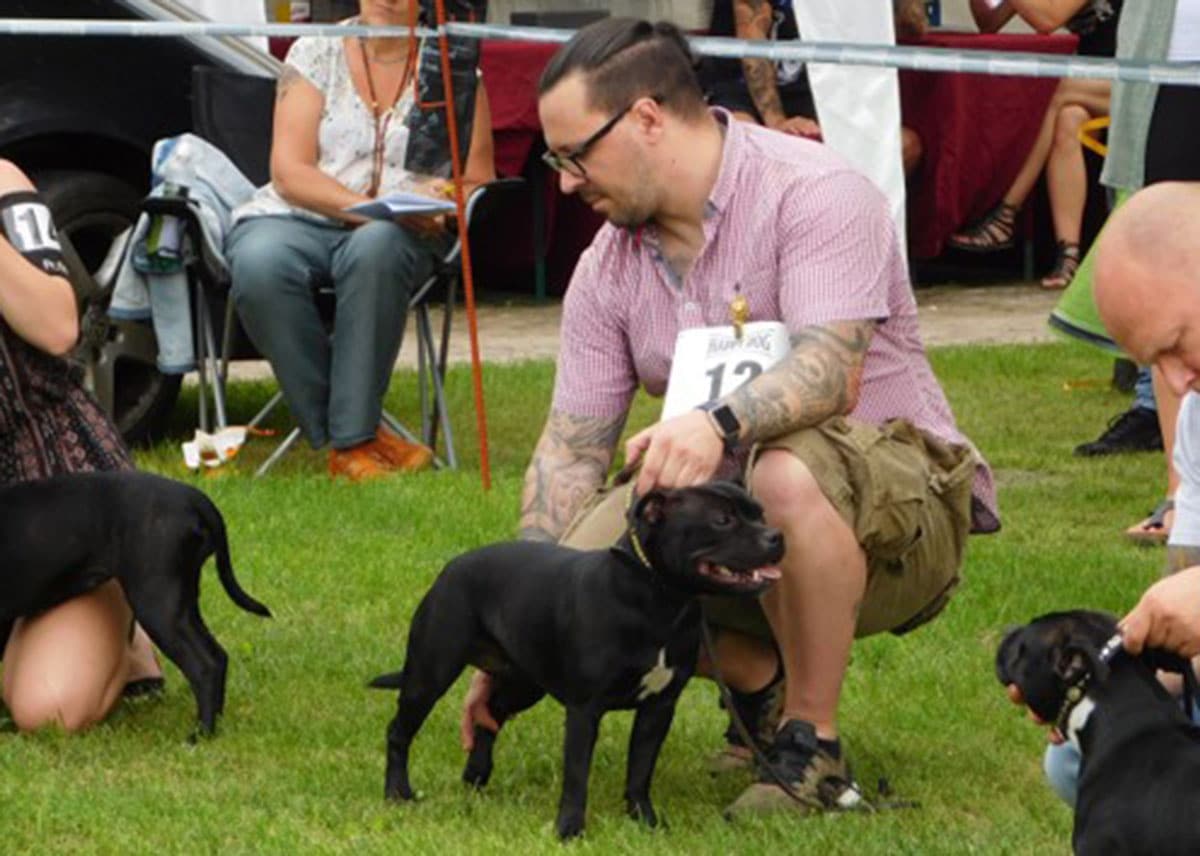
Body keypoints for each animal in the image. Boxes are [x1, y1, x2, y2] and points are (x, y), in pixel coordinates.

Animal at [0, 470, 272, 729]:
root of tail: (195, 498)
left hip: (158, 604)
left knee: (205, 665)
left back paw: (200, 733)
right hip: (181, 603)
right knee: (218, 657)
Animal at [374, 477, 787, 840]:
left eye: (761, 513)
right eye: (722, 519)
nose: (777, 536)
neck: (658, 598)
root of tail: (452, 566)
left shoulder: (658, 708)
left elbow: (640, 771)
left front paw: (645, 821)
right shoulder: (584, 710)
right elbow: (577, 775)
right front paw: (570, 830)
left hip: (523, 685)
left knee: (488, 716)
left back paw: (475, 778)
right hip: (430, 673)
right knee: (399, 731)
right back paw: (398, 793)